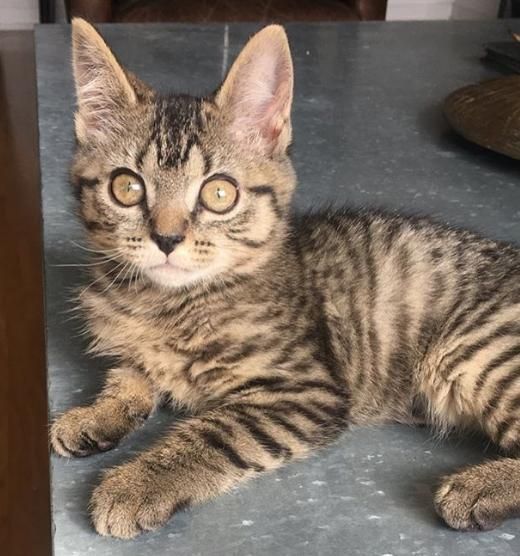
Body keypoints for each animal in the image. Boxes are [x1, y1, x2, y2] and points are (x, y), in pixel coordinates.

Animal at [51, 18, 520, 539]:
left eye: (219, 194)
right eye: (126, 187)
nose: (167, 238)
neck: (166, 303)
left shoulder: (302, 391)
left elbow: (213, 433)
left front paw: (135, 484)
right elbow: (129, 374)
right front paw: (97, 414)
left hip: (472, 352)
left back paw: (478, 488)